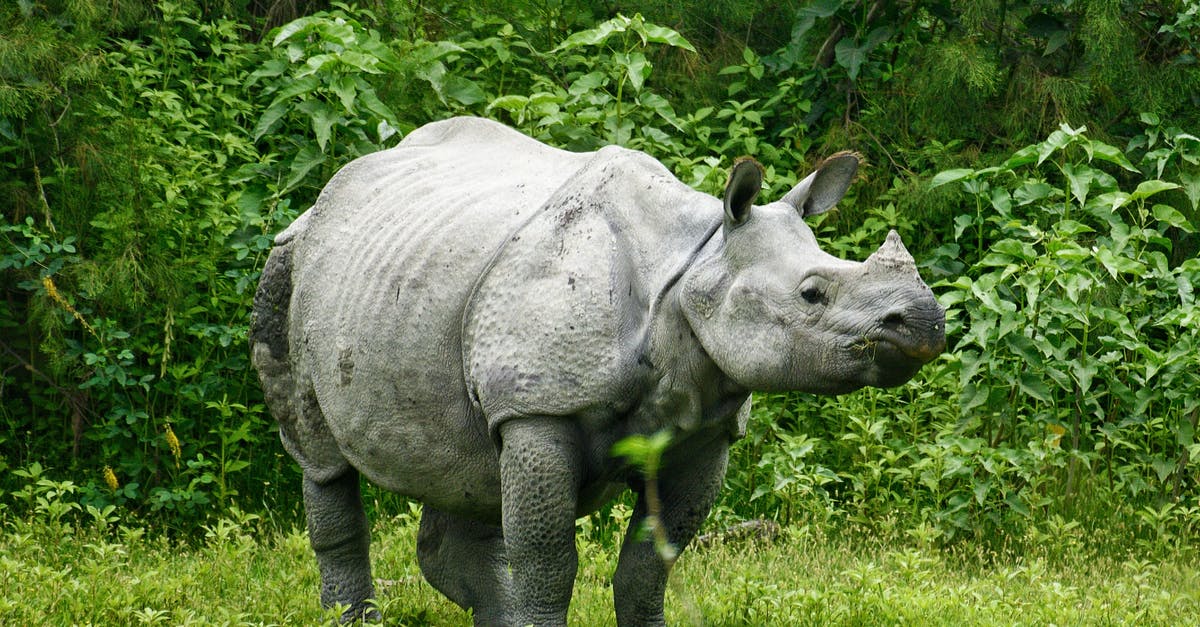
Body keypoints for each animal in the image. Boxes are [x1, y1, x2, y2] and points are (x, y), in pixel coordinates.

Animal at [250, 116, 945, 625]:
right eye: (812, 294)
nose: (925, 322)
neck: (695, 264)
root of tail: (325, 198)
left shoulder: (704, 428)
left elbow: (649, 567)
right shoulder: (538, 405)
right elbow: (548, 560)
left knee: (467, 470)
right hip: (292, 266)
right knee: (323, 460)